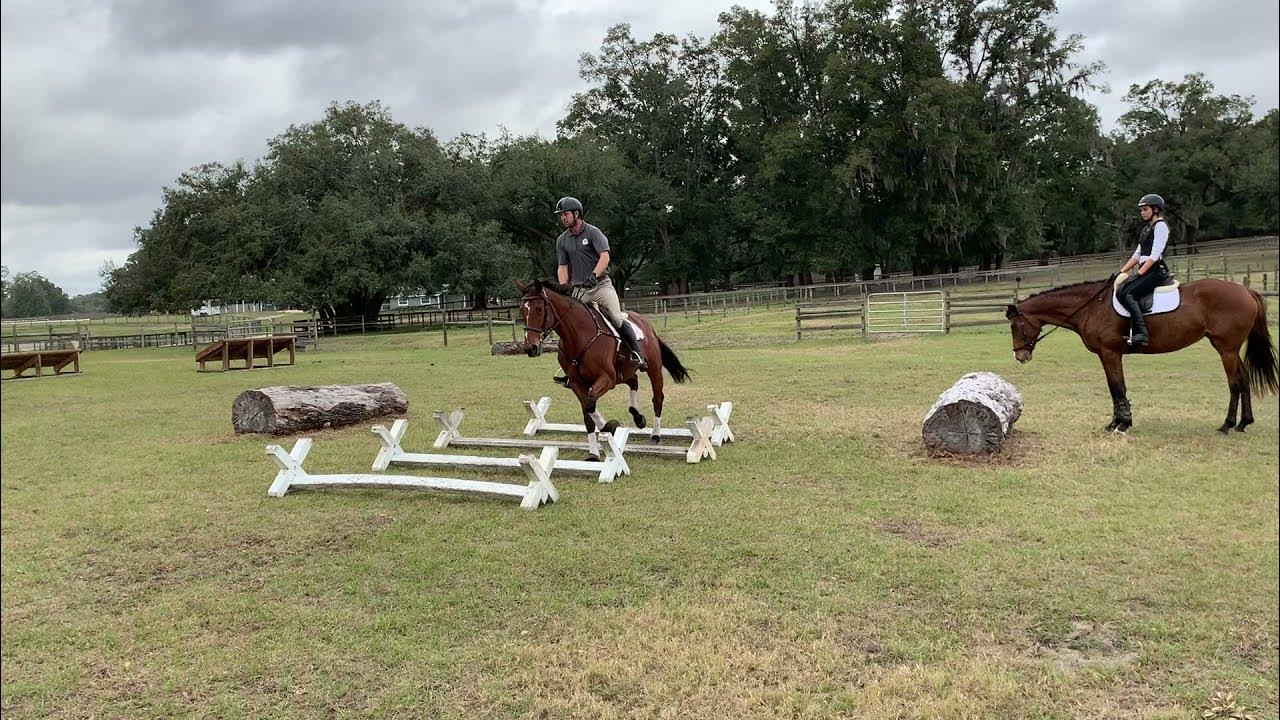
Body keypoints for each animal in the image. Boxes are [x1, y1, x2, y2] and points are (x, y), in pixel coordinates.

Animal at [517, 279, 691, 460]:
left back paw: (655, 434)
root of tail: (645, 321)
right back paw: (637, 417)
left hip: (653, 368)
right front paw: (593, 454)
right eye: (522, 310)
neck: (578, 336)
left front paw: (609, 426)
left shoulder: (607, 378)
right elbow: (587, 412)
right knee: (633, 382)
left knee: (657, 398)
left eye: (538, 309)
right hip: (623, 373)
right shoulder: (577, 383)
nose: (530, 348)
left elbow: (590, 404)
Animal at [1005, 277, 1278, 433]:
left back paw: (1228, 424)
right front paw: (1117, 422)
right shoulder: (1108, 355)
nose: (1020, 356)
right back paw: (1243, 423)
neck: (1092, 306)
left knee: (1235, 383)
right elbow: (1115, 388)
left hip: (1226, 349)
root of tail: (1246, 291)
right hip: (1229, 349)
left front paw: (1121, 424)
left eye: (1015, 326)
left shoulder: (1110, 353)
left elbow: (1117, 387)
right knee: (1244, 379)